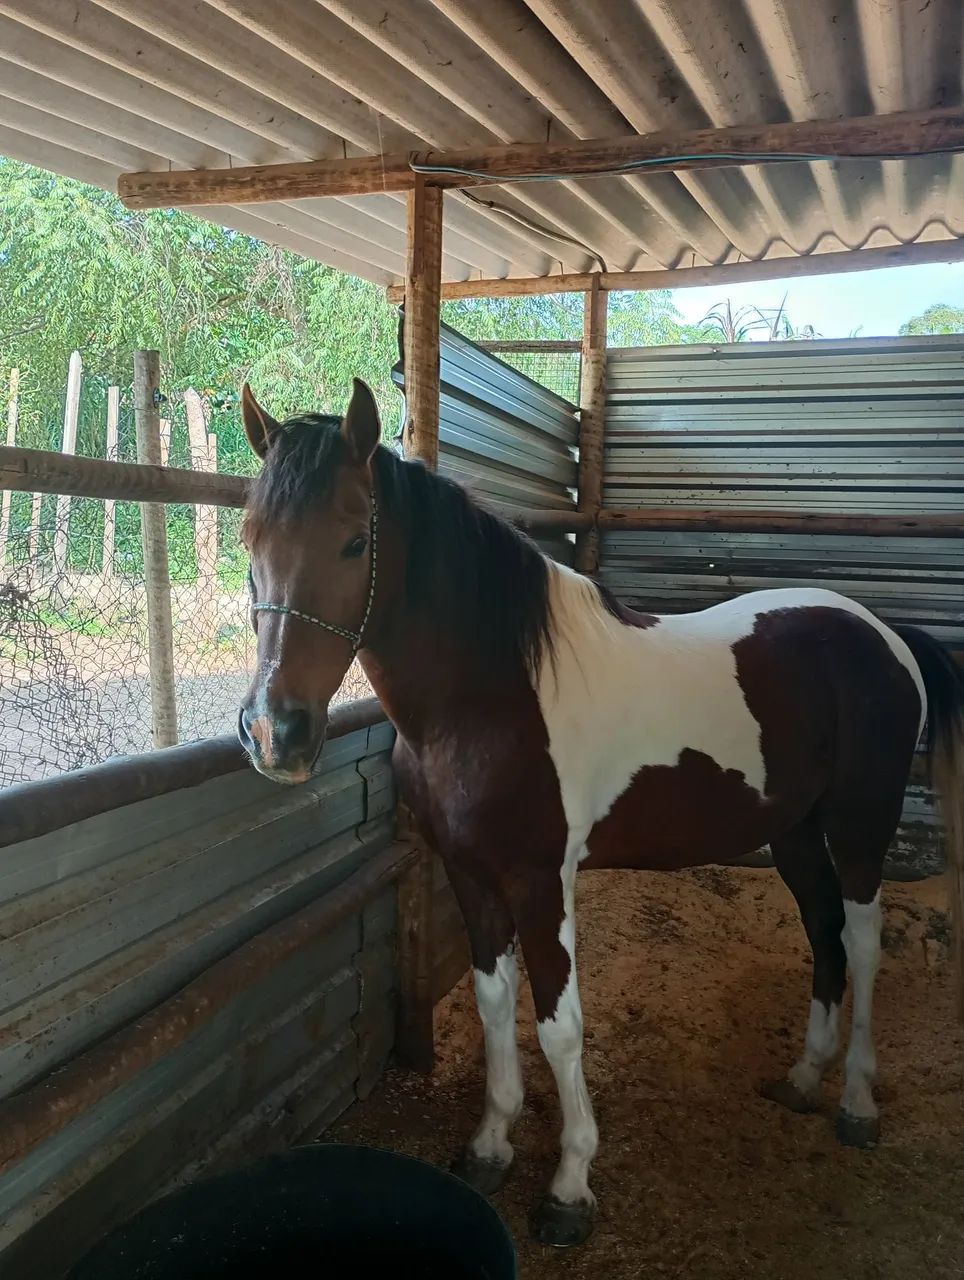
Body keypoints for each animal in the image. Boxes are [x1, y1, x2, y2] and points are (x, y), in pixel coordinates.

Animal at [236, 378, 964, 1248]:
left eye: (353, 541)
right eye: (248, 538)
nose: (275, 734)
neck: (491, 692)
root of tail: (885, 634)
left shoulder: (541, 881)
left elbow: (559, 1025)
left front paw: (570, 1185)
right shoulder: (470, 875)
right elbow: (493, 1006)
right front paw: (490, 1145)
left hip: (860, 827)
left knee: (861, 942)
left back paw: (856, 1101)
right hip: (792, 832)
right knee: (823, 934)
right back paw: (802, 1078)